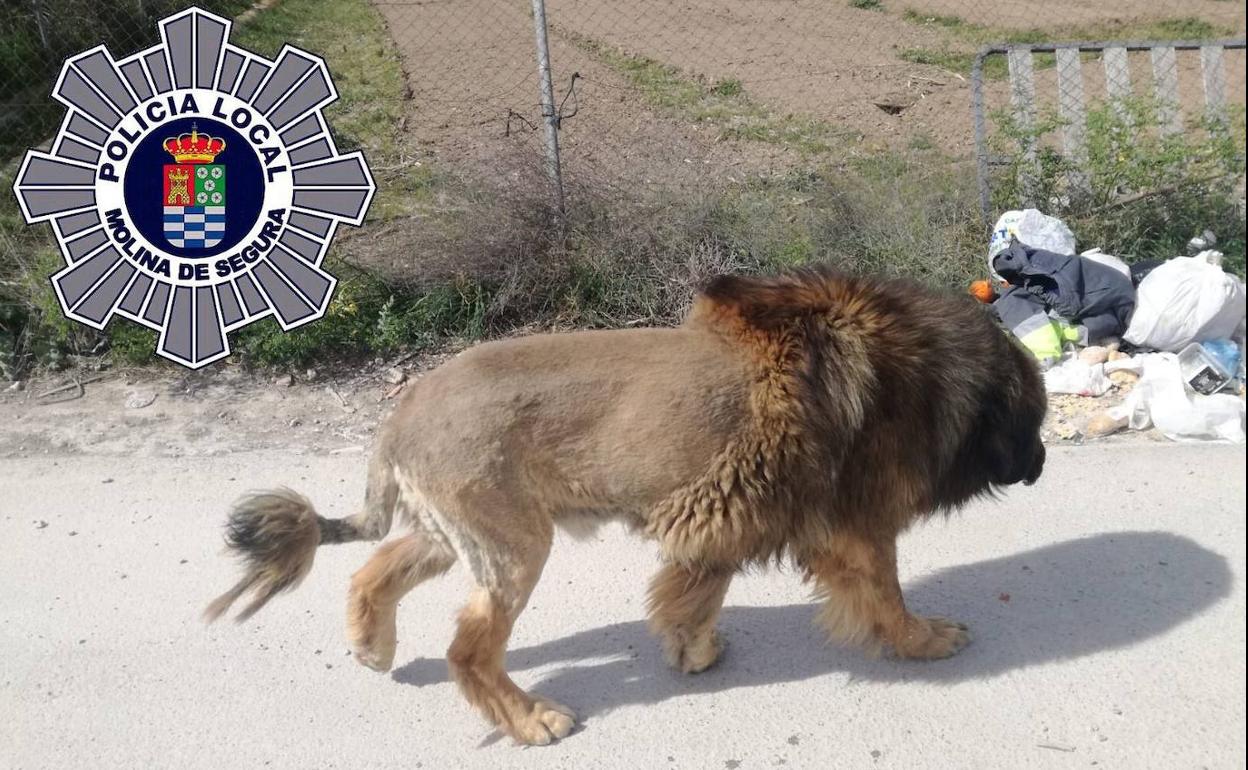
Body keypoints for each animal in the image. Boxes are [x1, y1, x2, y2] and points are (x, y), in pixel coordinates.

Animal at [205, 267, 1047, 745]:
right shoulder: (853, 526)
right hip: (513, 546)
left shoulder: (731, 514)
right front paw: (926, 641)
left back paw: (372, 647)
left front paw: (692, 651)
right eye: (1035, 419)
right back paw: (532, 722)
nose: (1042, 465)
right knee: (468, 652)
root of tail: (401, 412)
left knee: (372, 572)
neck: (920, 371)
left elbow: (696, 592)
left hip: (458, 535)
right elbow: (886, 598)